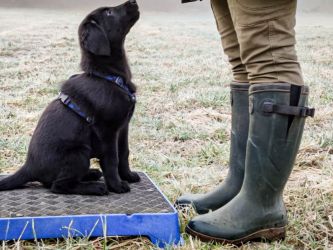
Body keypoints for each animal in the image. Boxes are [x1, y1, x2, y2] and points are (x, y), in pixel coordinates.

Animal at [0, 0, 140, 195]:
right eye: (109, 13)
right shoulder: (107, 132)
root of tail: (29, 167)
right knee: (58, 186)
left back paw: (91, 174)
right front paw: (117, 185)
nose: (133, 1)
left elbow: (124, 153)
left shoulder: (123, 127)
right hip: (79, 153)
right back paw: (95, 187)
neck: (107, 75)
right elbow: (112, 159)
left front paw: (128, 175)